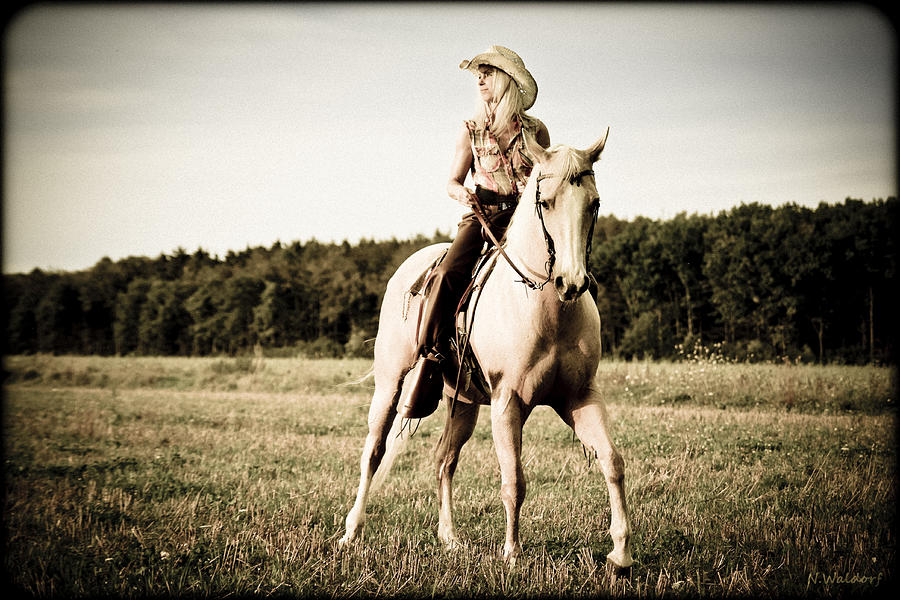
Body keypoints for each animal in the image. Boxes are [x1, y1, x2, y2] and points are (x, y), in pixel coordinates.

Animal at [338, 131, 632, 572]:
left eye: (594, 203)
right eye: (546, 202)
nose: (572, 282)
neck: (545, 308)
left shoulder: (580, 397)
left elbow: (612, 461)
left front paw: (621, 552)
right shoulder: (508, 401)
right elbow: (514, 479)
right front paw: (511, 553)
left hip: (461, 402)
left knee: (444, 460)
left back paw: (449, 538)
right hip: (390, 385)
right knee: (373, 451)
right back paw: (351, 531)